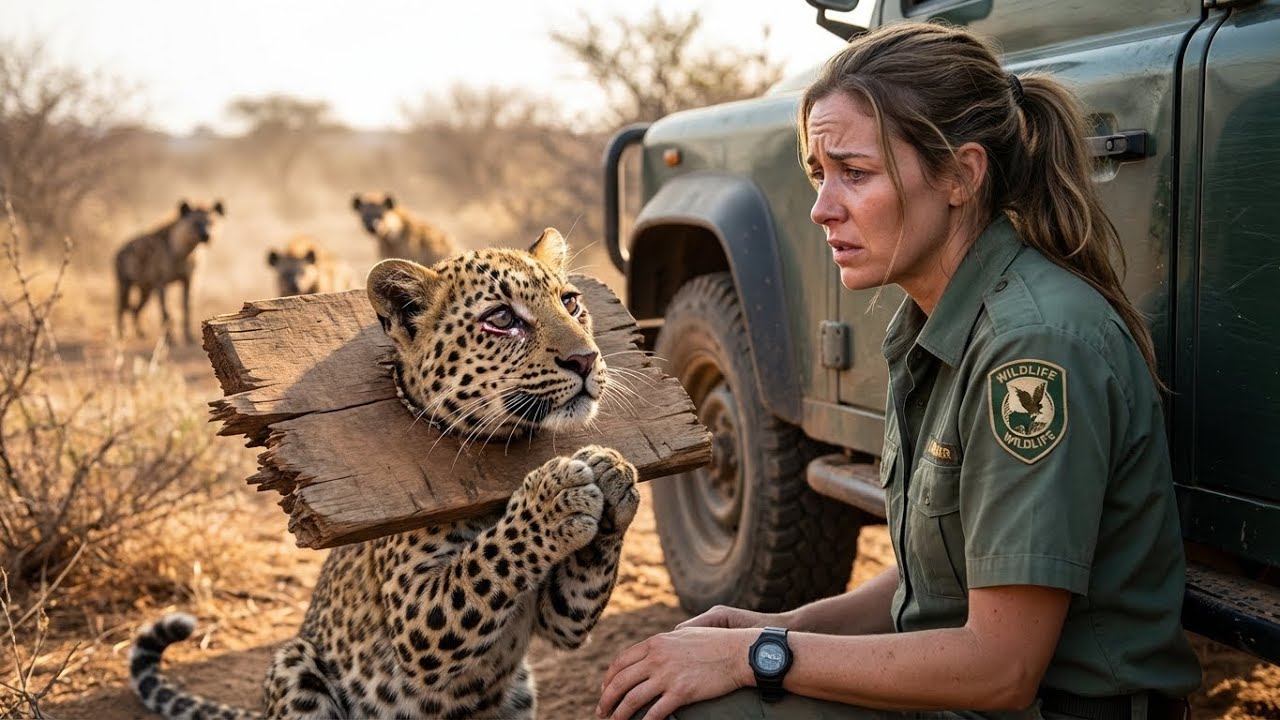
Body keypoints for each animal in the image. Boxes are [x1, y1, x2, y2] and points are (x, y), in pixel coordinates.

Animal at [115, 199, 225, 344]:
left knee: (135, 308)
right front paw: (170, 340)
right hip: (125, 283)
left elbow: (187, 307)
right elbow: (165, 311)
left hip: (146, 289)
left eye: (211, 222)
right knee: (121, 307)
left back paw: (141, 333)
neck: (183, 252)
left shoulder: (188, 279)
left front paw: (189, 338)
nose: (206, 236)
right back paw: (120, 335)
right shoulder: (161, 283)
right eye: (195, 223)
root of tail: (118, 251)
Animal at [128, 227, 639, 719]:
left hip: (520, 689)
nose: (586, 359)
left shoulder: (558, 617)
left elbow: (568, 608)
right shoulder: (417, 614)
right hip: (295, 665)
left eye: (570, 302)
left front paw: (612, 475)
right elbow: (487, 557)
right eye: (501, 318)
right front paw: (553, 497)